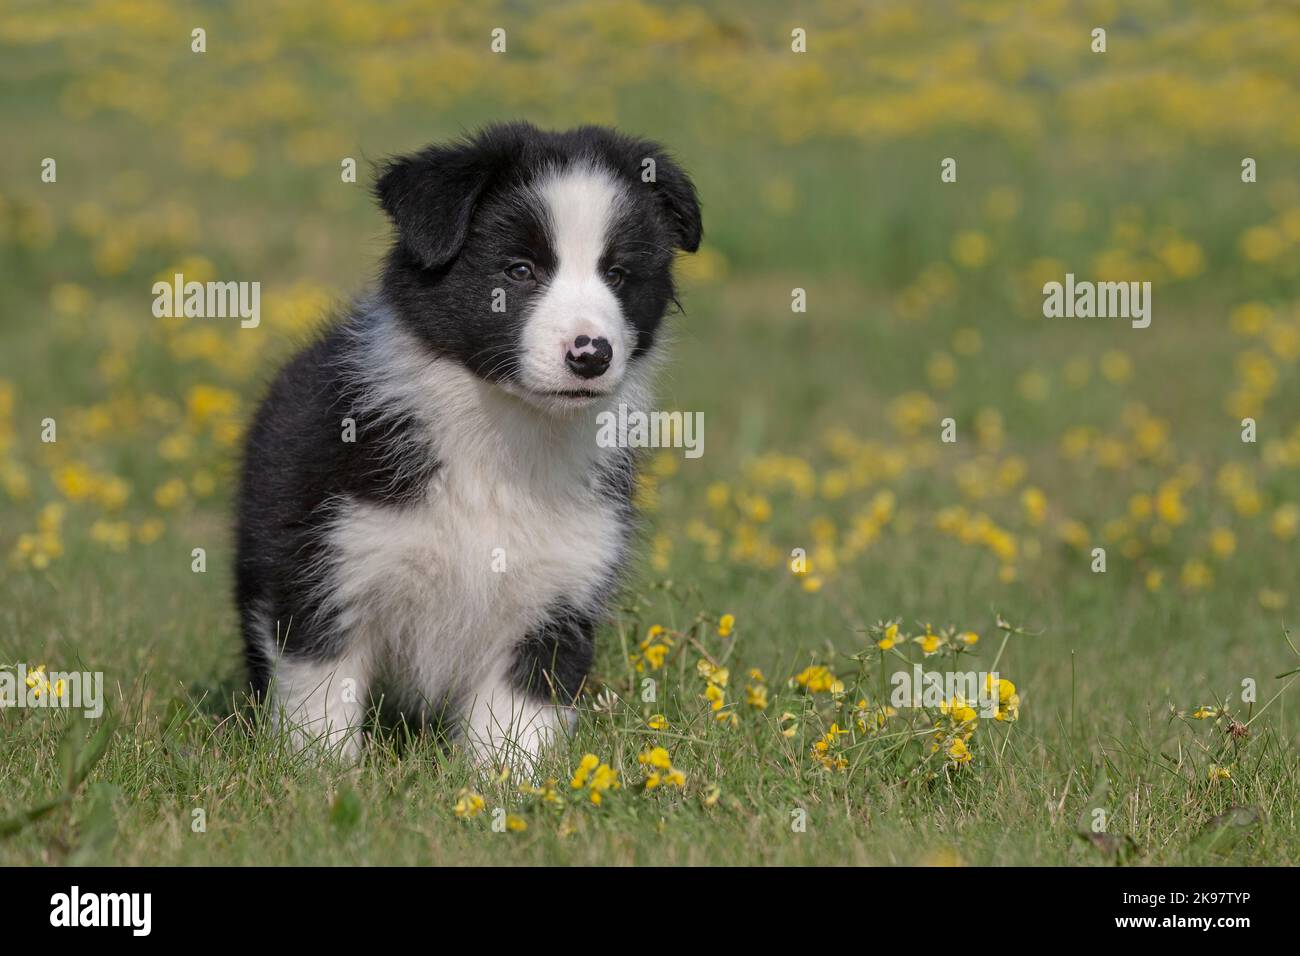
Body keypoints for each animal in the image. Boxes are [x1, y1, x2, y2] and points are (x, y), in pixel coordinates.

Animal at [233, 125, 702, 770]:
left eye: (619, 275)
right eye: (520, 269)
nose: (591, 354)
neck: (503, 434)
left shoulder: (559, 589)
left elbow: (520, 715)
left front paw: (506, 783)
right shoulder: (327, 567)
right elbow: (322, 693)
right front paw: (320, 775)